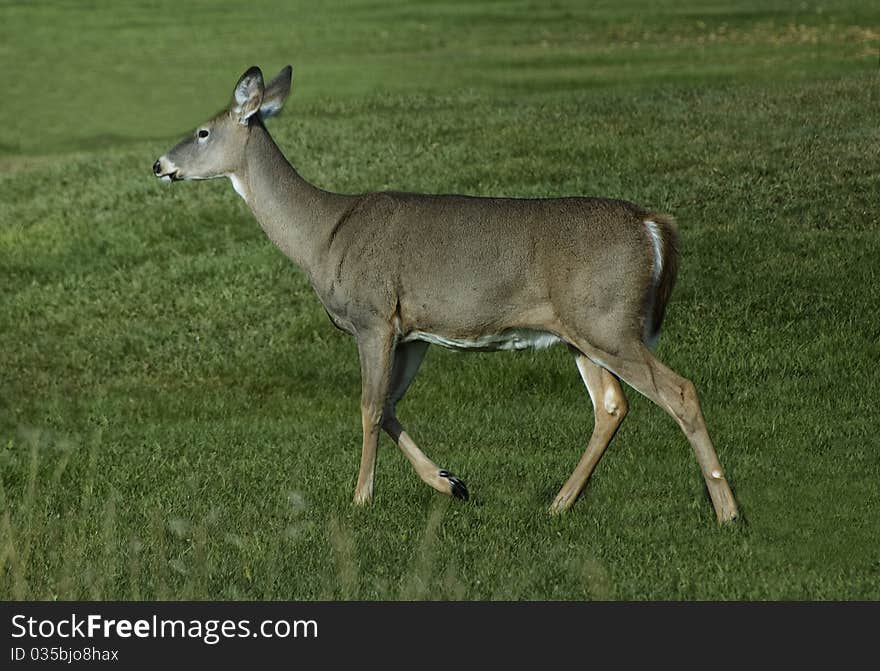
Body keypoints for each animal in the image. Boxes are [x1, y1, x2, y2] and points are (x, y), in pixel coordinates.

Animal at [155, 64, 740, 524]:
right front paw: (451, 482)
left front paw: (360, 498)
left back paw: (727, 511)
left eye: (203, 131)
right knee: (612, 406)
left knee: (680, 391)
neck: (323, 236)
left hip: (609, 321)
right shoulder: (413, 331)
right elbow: (390, 405)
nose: (159, 164)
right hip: (583, 330)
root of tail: (653, 225)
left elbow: (369, 406)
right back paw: (559, 503)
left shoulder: (372, 315)